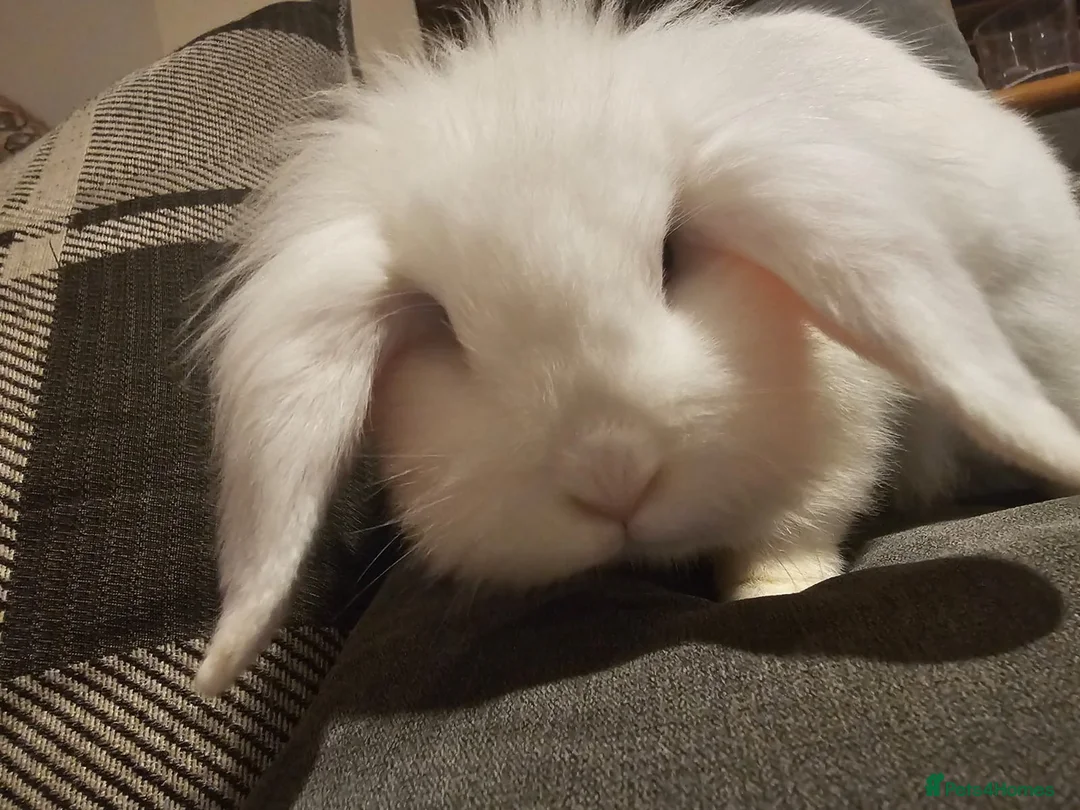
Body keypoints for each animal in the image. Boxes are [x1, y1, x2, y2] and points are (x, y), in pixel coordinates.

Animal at [189, 0, 1080, 696]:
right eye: (442, 322)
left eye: (671, 257)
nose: (611, 475)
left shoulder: (841, 432)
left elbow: (795, 527)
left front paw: (769, 592)